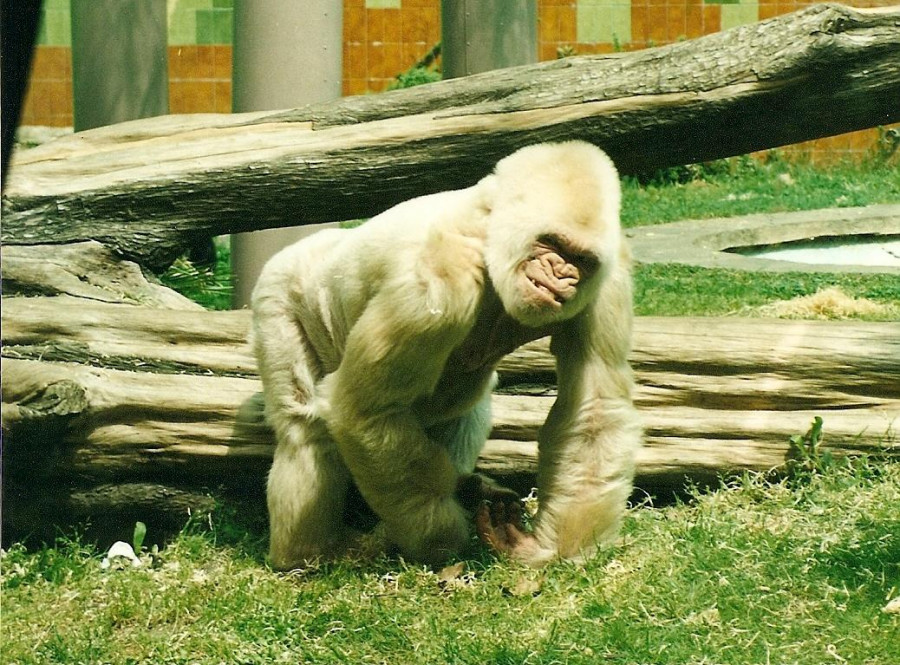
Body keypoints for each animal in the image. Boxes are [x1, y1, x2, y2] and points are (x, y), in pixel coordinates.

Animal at [251, 140, 640, 564]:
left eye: (581, 259)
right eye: (551, 243)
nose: (561, 275)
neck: (489, 236)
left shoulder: (609, 282)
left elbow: (594, 409)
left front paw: (548, 550)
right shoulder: (436, 279)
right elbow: (365, 410)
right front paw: (442, 537)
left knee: (466, 412)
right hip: (277, 289)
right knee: (304, 427)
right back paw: (306, 554)